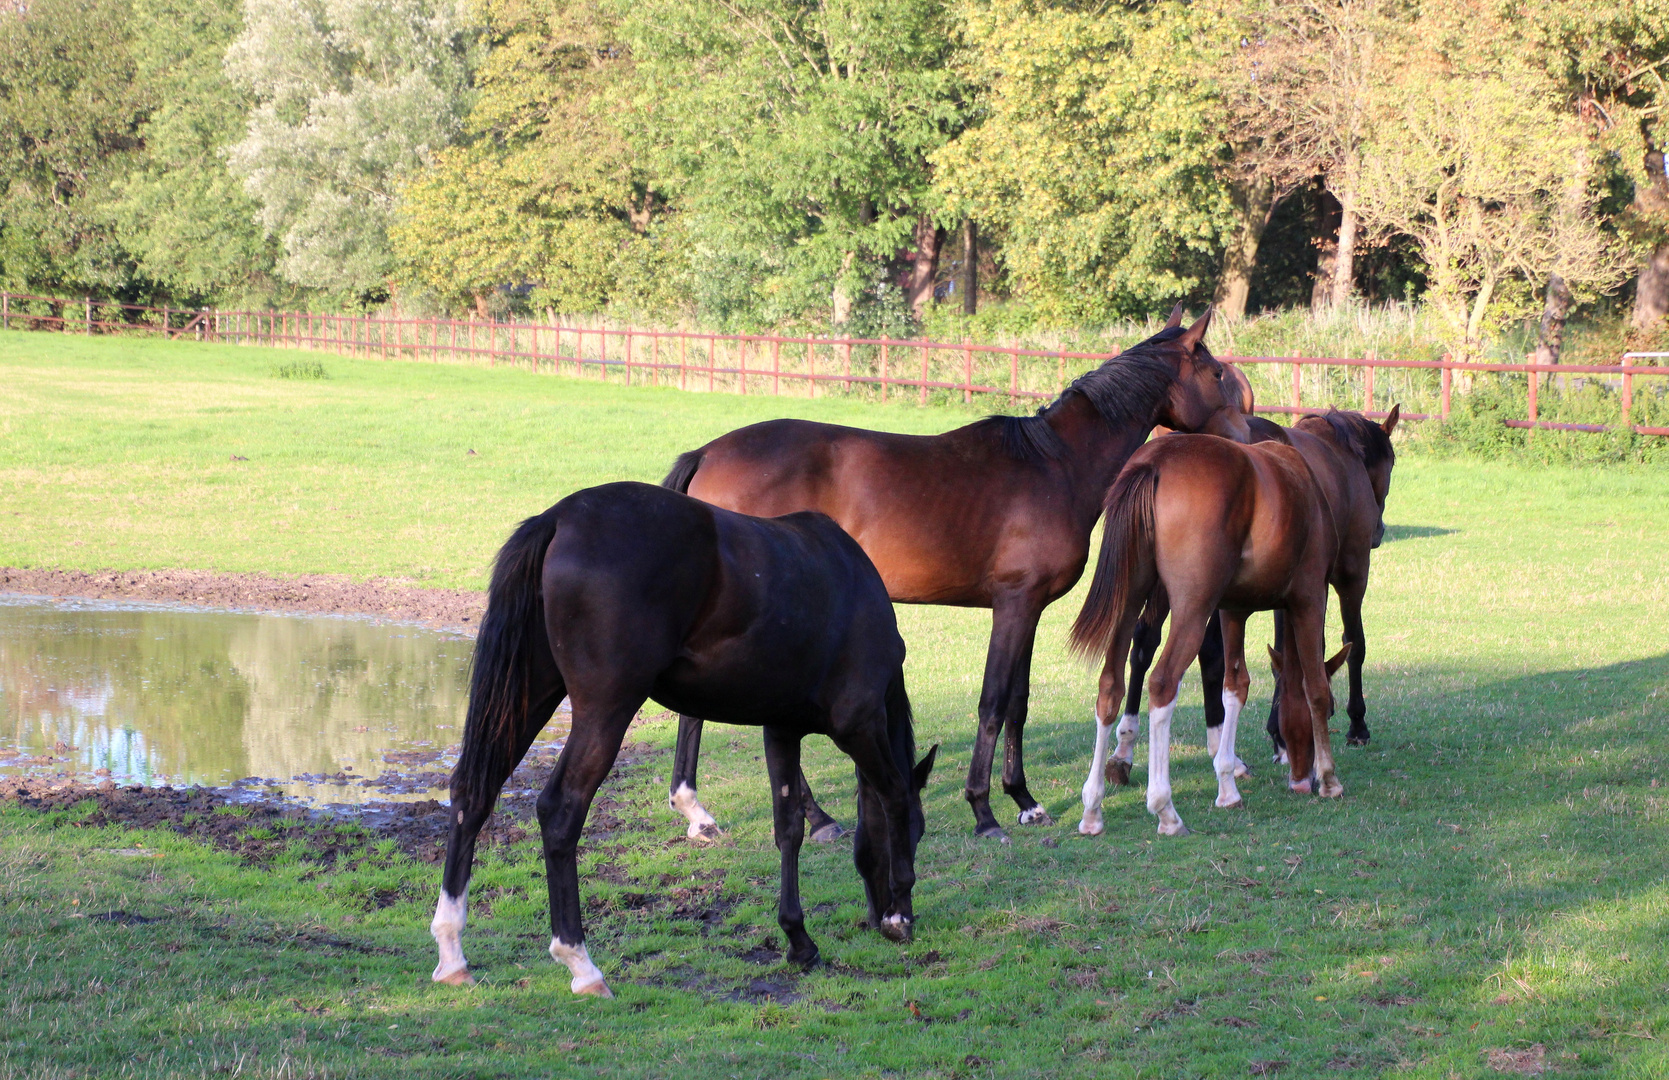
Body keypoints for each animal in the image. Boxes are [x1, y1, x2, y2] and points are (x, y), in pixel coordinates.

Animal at [430, 480, 941, 994]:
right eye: (919, 832)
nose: (880, 917)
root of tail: (559, 518)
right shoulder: (860, 724)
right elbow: (894, 795)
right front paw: (900, 914)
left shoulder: (781, 730)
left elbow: (789, 828)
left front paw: (798, 939)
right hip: (605, 710)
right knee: (560, 810)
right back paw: (581, 963)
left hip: (529, 695)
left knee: (473, 793)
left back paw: (452, 953)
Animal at [657, 308, 1235, 841]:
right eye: (1216, 373)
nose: (1241, 438)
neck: (1057, 465)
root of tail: (707, 453)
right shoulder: (1013, 605)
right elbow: (992, 702)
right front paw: (984, 811)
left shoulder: (1029, 609)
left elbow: (1019, 702)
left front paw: (1024, 800)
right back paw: (746, 814)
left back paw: (740, 814)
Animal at [1068, 430, 1355, 837]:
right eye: (1332, 709)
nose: (1300, 780)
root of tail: (1156, 460)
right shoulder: (1310, 598)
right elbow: (1313, 685)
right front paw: (1329, 779)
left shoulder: (1232, 610)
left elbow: (1235, 685)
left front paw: (1227, 785)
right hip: (1192, 609)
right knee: (1162, 683)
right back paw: (1165, 809)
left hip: (1131, 598)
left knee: (1110, 686)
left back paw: (1093, 807)